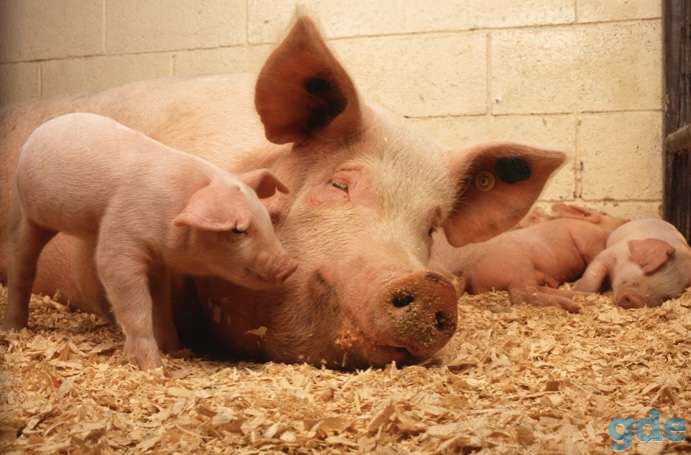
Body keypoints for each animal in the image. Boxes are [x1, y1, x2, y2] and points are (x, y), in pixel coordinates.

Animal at [3, 112, 297, 369]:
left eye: (266, 218)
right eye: (237, 230)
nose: (290, 266)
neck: (172, 210)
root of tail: (40, 130)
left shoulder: (158, 261)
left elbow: (161, 305)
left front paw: (177, 350)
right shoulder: (120, 236)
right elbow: (134, 302)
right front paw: (153, 366)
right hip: (25, 213)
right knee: (21, 266)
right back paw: (14, 329)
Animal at [429, 203, 629, 312]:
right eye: (605, 214)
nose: (626, 220)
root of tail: (468, 272)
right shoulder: (586, 238)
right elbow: (592, 255)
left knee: (536, 290)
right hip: (519, 266)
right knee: (522, 295)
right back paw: (574, 306)